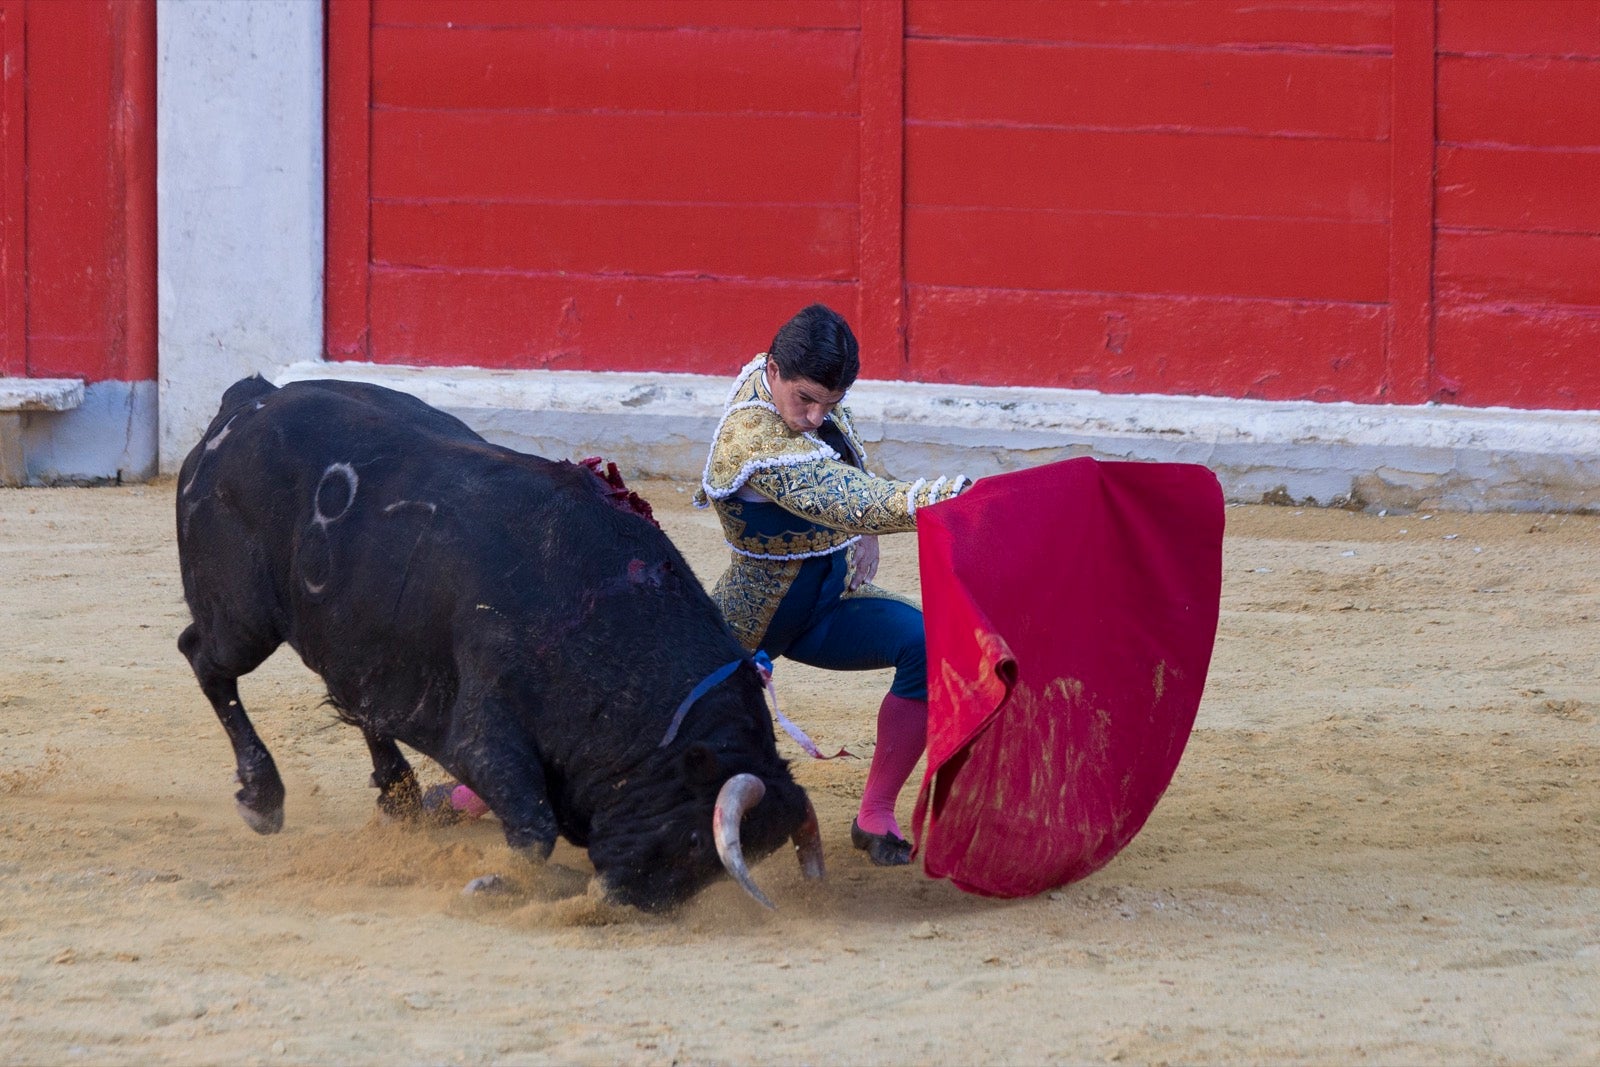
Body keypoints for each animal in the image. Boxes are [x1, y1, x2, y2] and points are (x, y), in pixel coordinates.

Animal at [175, 375, 825, 908]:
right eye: (693, 838)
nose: (622, 901)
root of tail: (249, 401)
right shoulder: (483, 734)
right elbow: (533, 828)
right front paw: (495, 884)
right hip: (243, 619)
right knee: (204, 658)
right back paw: (264, 798)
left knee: (358, 696)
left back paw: (400, 799)